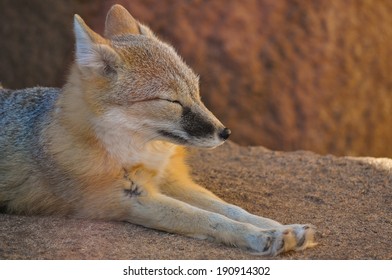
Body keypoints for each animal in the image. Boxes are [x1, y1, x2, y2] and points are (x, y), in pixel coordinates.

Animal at [0, 4, 316, 256]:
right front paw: (262, 236)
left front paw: (281, 227)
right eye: (172, 102)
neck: (141, 152)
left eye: (196, 91)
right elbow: (205, 218)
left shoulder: (171, 181)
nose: (225, 132)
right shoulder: (129, 199)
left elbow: (230, 209)